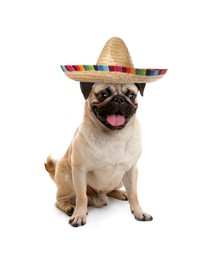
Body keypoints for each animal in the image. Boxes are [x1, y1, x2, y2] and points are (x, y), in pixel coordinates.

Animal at [44, 82, 152, 226]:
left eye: (131, 95)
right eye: (103, 95)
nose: (119, 99)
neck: (114, 136)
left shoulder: (131, 170)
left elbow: (134, 194)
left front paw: (139, 212)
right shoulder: (79, 170)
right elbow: (81, 197)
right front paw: (79, 215)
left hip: (119, 179)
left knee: (112, 190)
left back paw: (120, 193)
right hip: (67, 178)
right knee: (61, 200)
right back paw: (69, 208)